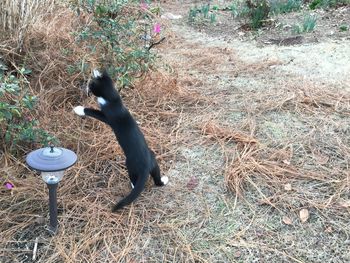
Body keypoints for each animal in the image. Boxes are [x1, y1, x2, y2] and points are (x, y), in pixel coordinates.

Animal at [72, 69, 168, 212]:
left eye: (91, 84)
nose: (85, 86)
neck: (114, 100)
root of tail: (146, 166)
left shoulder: (106, 116)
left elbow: (92, 111)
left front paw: (79, 109)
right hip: (154, 161)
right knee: (157, 179)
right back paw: (163, 180)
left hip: (130, 165)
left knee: (135, 182)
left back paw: (133, 185)